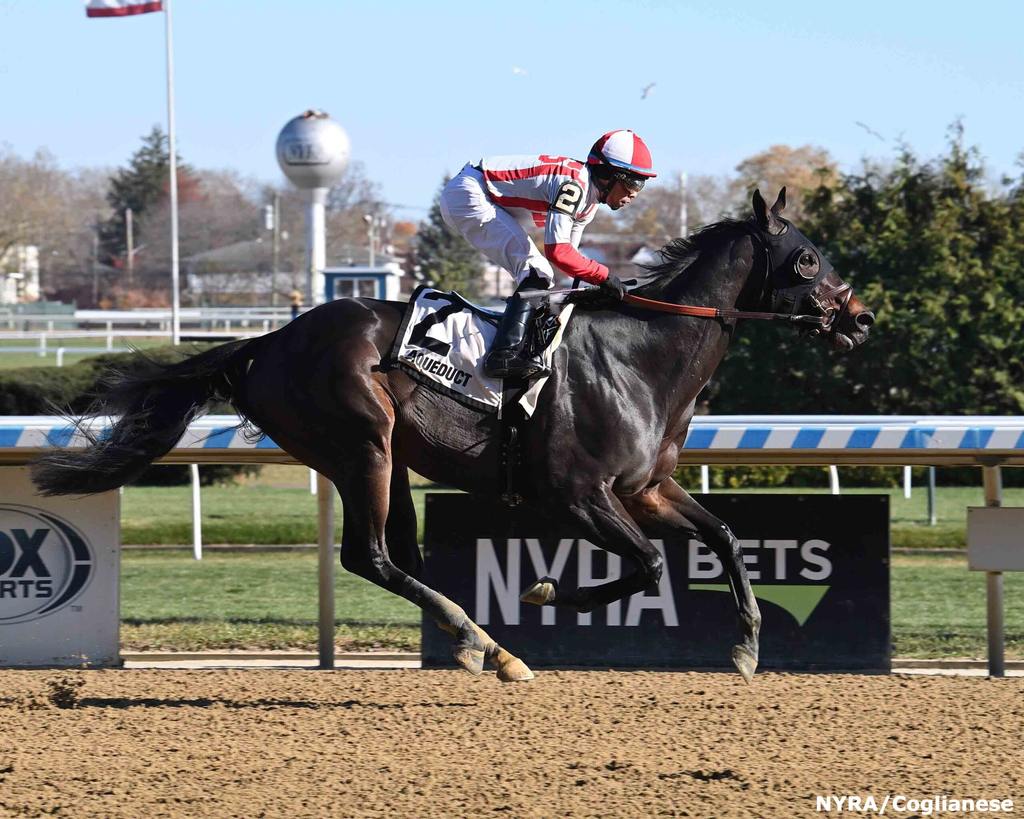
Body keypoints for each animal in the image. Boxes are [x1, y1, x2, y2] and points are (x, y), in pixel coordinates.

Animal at [29, 188, 872, 679]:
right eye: (806, 258)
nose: (859, 317)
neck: (641, 355)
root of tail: (266, 342)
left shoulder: (648, 487)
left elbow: (722, 535)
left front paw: (748, 643)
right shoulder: (575, 494)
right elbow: (646, 565)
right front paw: (546, 590)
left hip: (386, 458)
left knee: (396, 556)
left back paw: (484, 644)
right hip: (361, 445)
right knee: (369, 555)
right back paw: (483, 643)